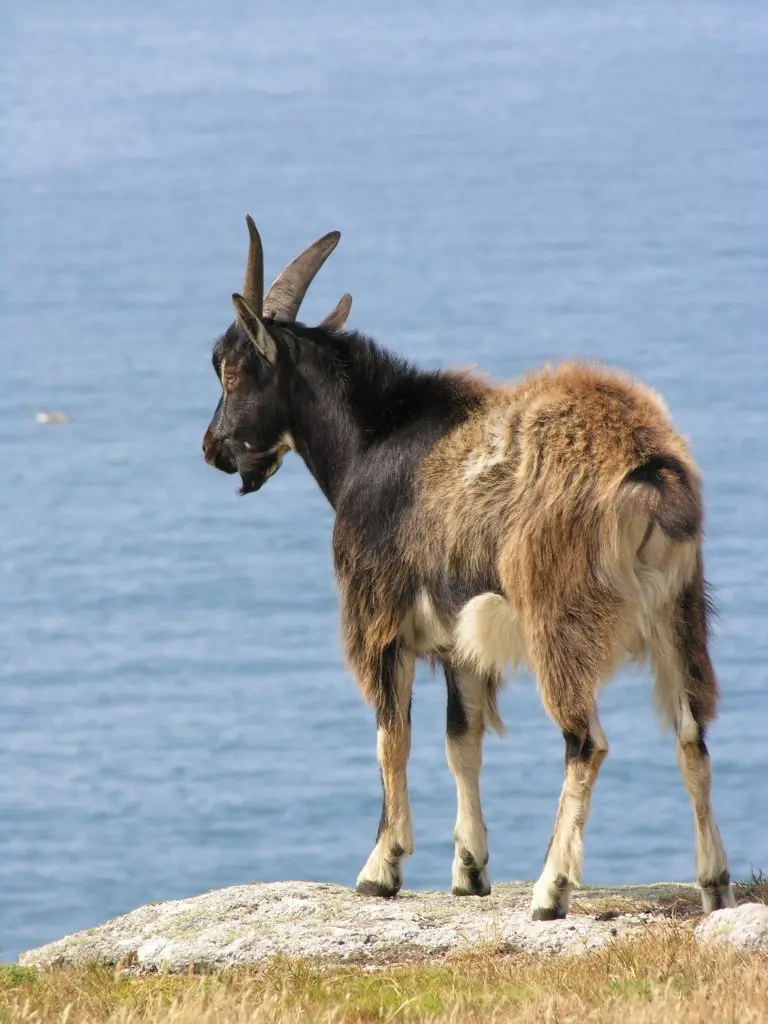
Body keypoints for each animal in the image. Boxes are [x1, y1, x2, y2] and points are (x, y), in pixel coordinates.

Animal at [202, 217, 735, 920]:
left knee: (585, 741)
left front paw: (381, 868)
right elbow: (463, 741)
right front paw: (469, 870)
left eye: (234, 371)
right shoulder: (460, 637)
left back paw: (551, 890)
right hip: (680, 610)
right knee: (691, 735)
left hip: (559, 615)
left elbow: (391, 735)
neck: (370, 443)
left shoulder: (381, 616)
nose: (212, 449)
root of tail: (649, 472)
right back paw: (715, 885)